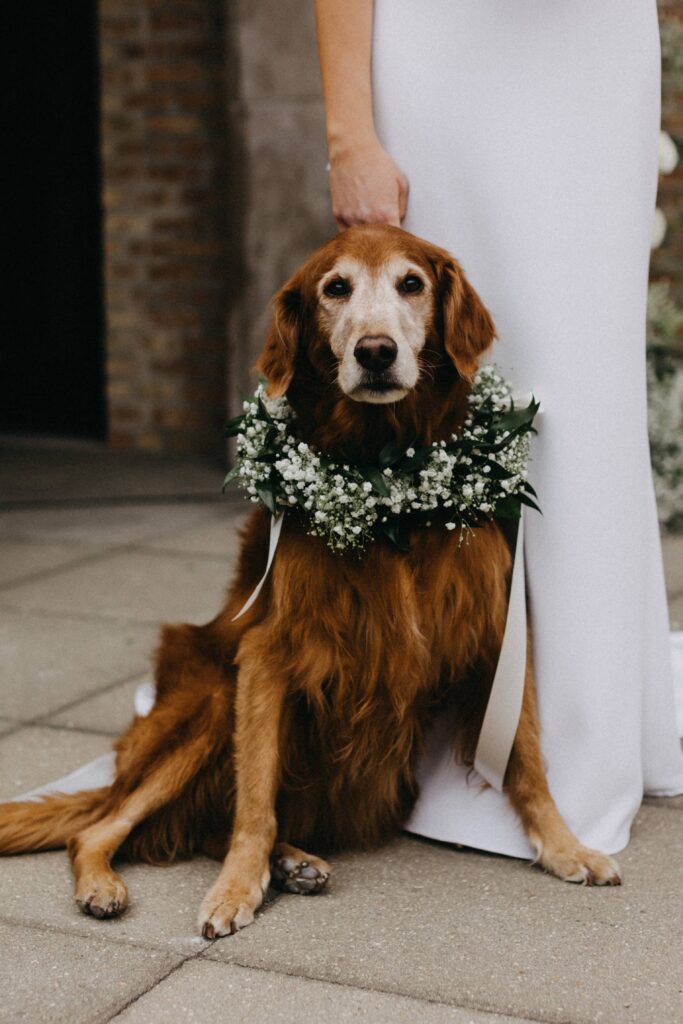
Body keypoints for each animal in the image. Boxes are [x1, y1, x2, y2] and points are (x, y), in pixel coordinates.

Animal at [0, 224, 622, 937]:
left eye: (412, 283)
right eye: (336, 288)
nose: (375, 352)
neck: (387, 479)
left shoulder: (494, 631)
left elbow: (527, 760)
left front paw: (567, 846)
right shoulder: (266, 652)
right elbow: (255, 801)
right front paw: (236, 888)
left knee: (193, 823)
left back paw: (292, 862)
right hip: (211, 702)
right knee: (104, 828)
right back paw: (112, 884)